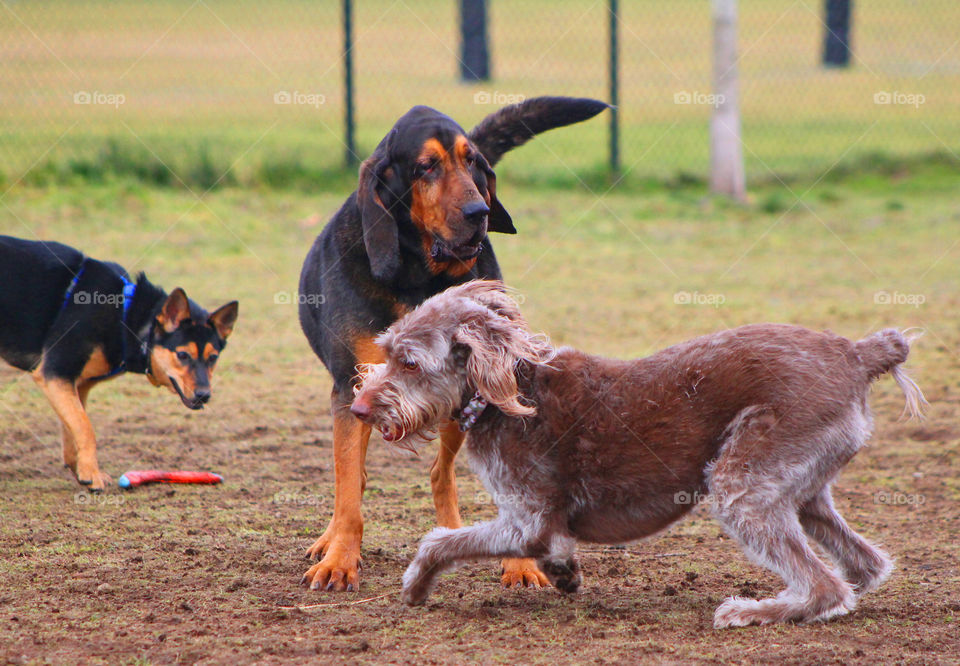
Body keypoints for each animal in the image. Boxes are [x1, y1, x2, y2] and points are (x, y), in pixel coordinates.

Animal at [0, 236, 238, 490]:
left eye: (213, 358)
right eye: (183, 355)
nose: (204, 395)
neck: (125, 318)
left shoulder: (75, 384)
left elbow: (72, 431)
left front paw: (81, 470)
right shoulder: (54, 373)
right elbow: (85, 427)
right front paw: (90, 474)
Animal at [300, 96, 604, 588]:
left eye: (473, 161)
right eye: (426, 166)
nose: (479, 212)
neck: (417, 271)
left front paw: (520, 563)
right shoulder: (352, 388)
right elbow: (349, 490)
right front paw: (340, 559)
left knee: (440, 474)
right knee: (355, 477)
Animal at [348, 282, 928, 628]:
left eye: (409, 362)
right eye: (388, 351)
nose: (358, 408)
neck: (503, 391)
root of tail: (855, 353)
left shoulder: (524, 521)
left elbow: (438, 541)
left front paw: (415, 586)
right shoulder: (537, 526)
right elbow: (552, 550)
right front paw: (564, 572)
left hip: (740, 486)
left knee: (825, 585)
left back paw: (751, 610)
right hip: (804, 493)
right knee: (865, 565)